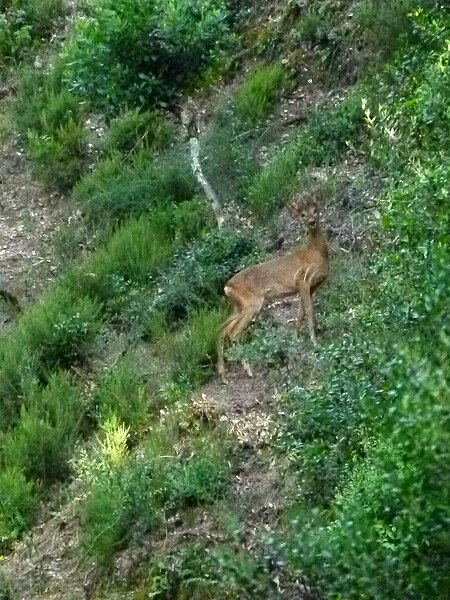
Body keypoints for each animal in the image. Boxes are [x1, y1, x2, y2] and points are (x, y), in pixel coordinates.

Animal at [216, 195, 328, 382]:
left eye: (315, 210)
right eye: (302, 215)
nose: (312, 222)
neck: (316, 253)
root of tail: (227, 287)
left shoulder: (308, 287)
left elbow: (300, 313)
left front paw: (296, 338)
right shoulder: (303, 281)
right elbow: (309, 310)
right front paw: (314, 341)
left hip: (238, 306)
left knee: (221, 330)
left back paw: (224, 375)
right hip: (251, 303)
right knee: (233, 332)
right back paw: (249, 371)